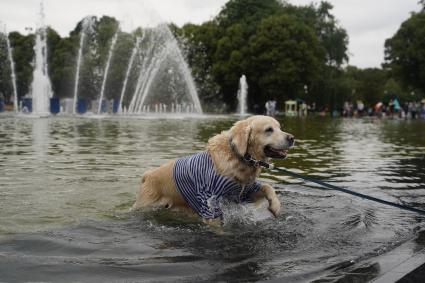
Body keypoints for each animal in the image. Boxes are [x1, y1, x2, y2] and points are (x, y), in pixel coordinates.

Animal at [131, 115, 294, 226]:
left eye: (279, 127)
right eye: (269, 130)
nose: (292, 138)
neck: (238, 156)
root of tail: (147, 175)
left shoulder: (245, 193)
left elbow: (268, 186)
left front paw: (275, 206)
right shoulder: (209, 203)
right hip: (145, 205)